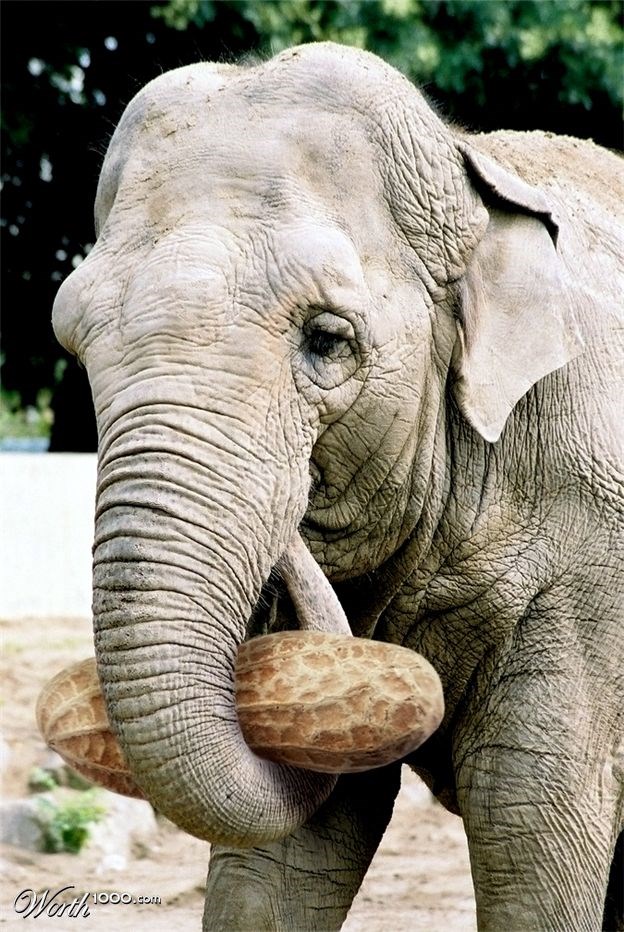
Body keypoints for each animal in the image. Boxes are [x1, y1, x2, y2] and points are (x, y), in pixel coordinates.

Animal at [51, 42, 623, 931]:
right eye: (73, 347)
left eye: (327, 340)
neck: (473, 167)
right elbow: (284, 856)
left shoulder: (593, 554)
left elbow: (533, 817)